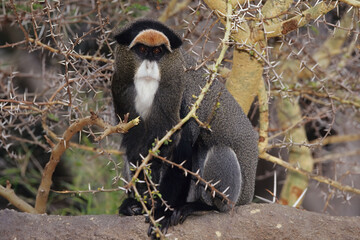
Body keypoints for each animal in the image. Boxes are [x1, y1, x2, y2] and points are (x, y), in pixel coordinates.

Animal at [111, 19, 258, 236]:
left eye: (158, 52)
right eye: (142, 49)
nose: (149, 66)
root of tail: (248, 196)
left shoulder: (185, 101)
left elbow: (180, 152)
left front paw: (161, 214)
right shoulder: (120, 91)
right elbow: (138, 149)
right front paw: (139, 204)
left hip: (233, 196)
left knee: (219, 151)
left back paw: (202, 207)